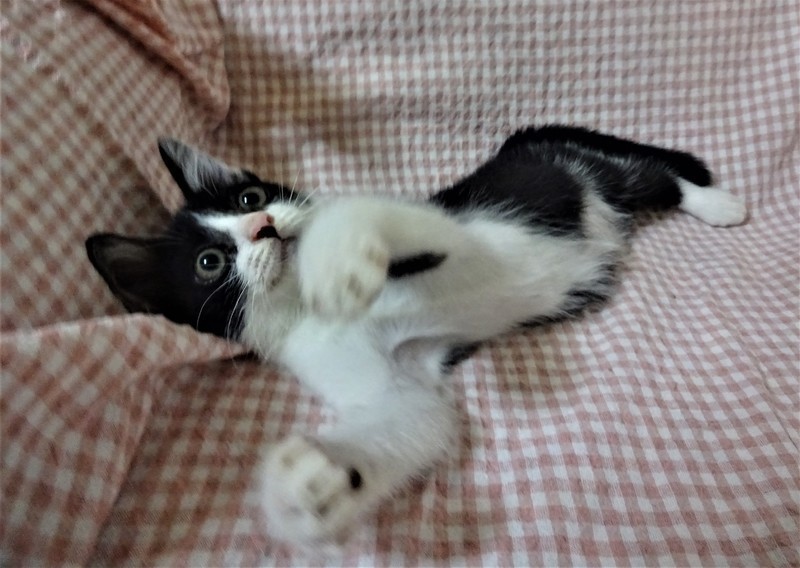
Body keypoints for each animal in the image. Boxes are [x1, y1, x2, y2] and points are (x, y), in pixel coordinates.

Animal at [85, 125, 747, 550]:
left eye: (252, 195)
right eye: (209, 263)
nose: (265, 224)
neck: (309, 306)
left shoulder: (454, 234)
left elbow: (363, 216)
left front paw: (334, 257)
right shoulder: (392, 376)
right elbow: (415, 418)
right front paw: (309, 488)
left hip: (590, 170)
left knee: (655, 174)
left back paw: (720, 204)